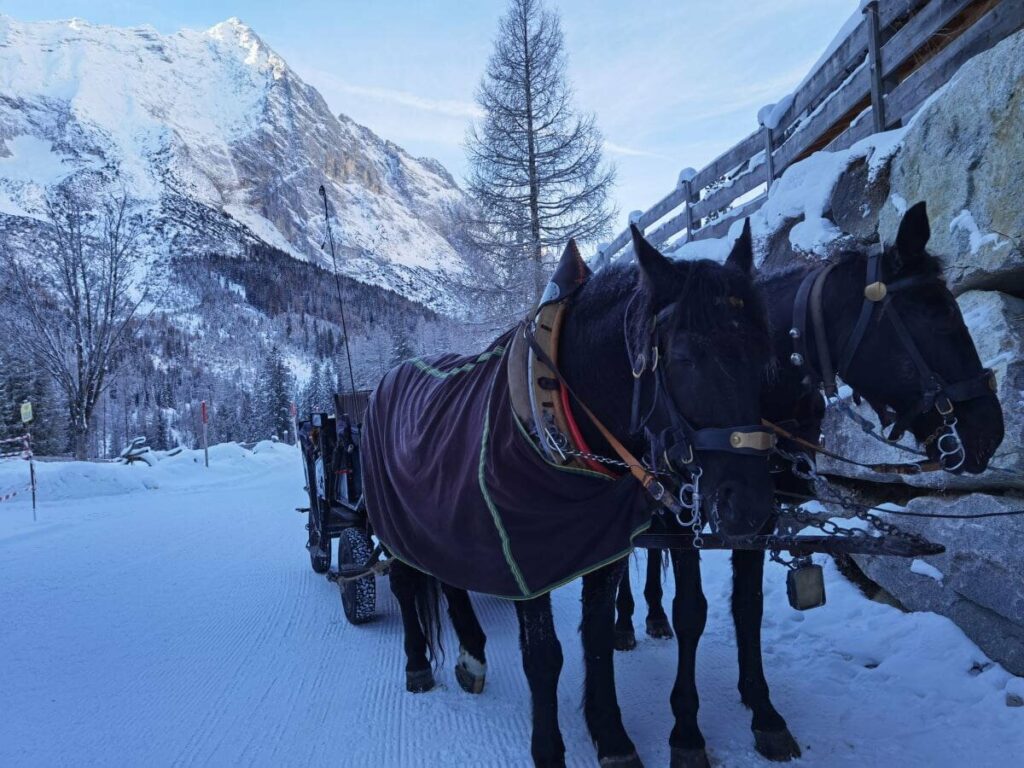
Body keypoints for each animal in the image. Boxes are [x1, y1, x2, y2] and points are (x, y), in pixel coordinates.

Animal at [385, 228, 774, 768]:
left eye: (766, 355)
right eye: (684, 357)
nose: (752, 509)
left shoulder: (599, 547)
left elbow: (596, 636)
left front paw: (611, 735)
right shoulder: (523, 557)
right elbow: (543, 656)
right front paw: (550, 750)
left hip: (442, 520)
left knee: (449, 580)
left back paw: (472, 655)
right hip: (393, 522)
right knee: (405, 582)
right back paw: (419, 664)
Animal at [610, 201, 1003, 765]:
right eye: (939, 314)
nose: (991, 429)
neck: (765, 405)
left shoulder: (758, 511)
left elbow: (747, 606)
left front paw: (764, 711)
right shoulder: (692, 508)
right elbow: (693, 611)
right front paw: (686, 730)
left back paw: (651, 615)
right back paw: (623, 623)